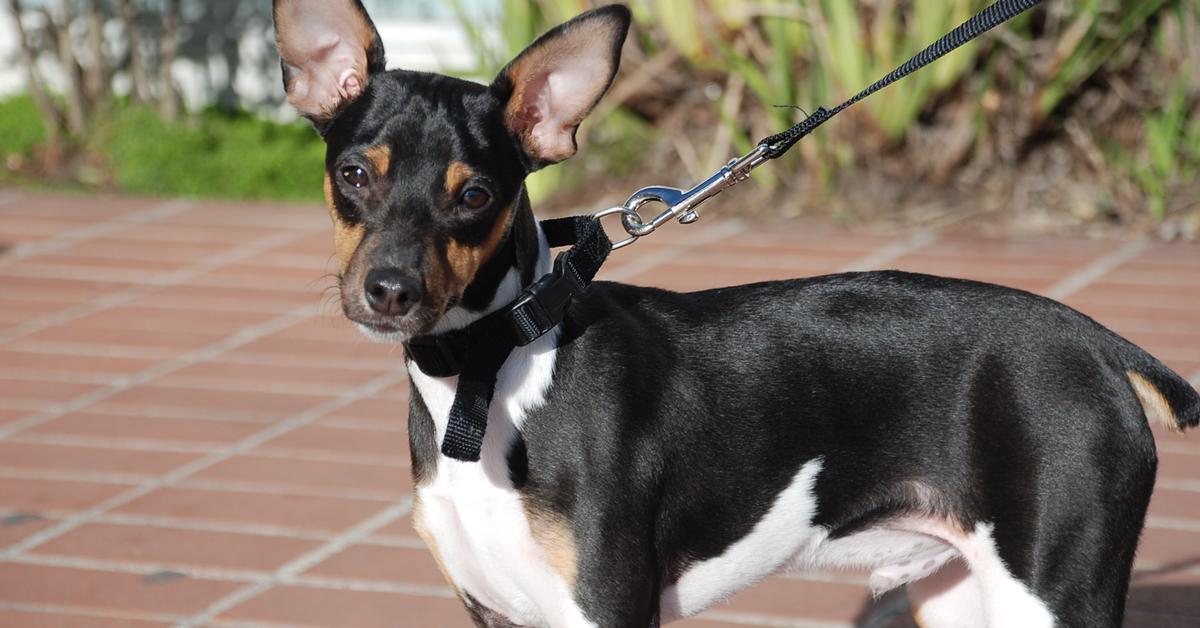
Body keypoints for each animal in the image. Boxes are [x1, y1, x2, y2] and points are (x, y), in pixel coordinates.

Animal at [272, 2, 1200, 624]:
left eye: (474, 195)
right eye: (354, 174)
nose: (390, 288)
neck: (491, 370)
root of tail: (1101, 345)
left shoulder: (606, 608)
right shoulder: (494, 610)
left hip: (1051, 594)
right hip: (966, 596)